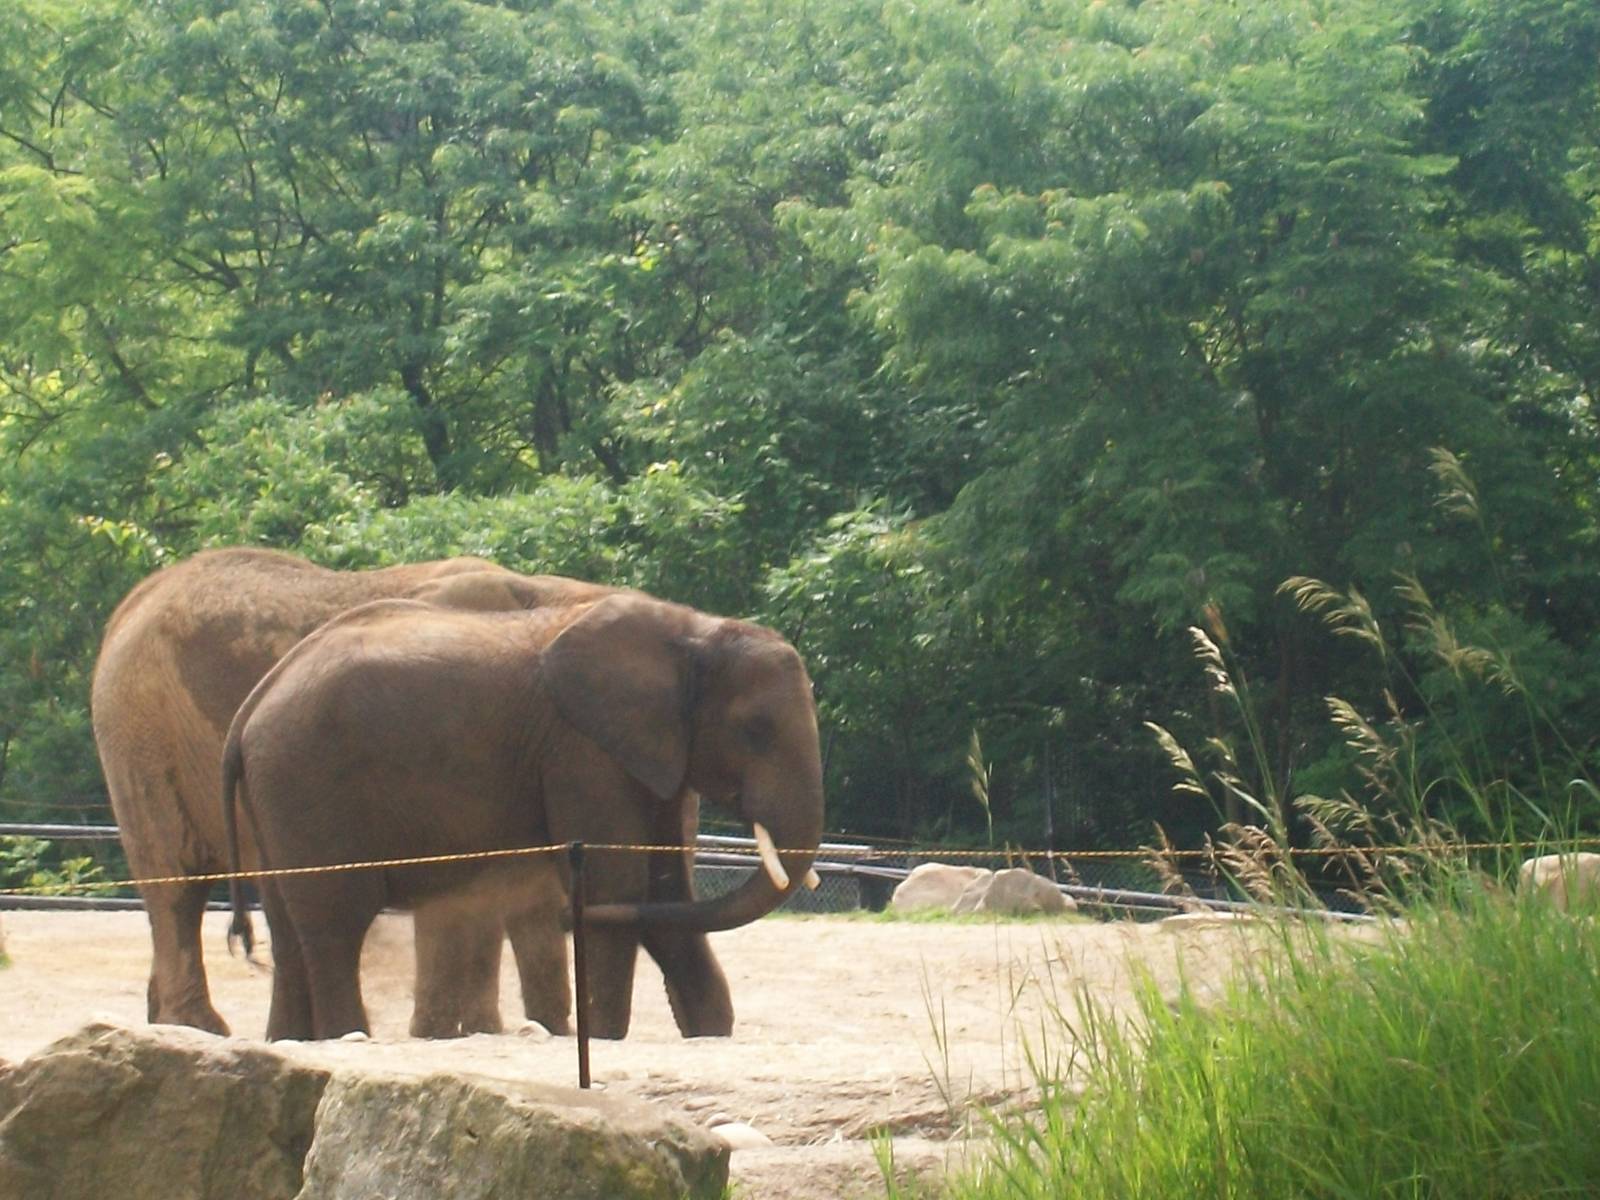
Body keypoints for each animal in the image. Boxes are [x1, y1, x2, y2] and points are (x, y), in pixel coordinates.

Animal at [90, 547, 734, 1038]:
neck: (549, 596)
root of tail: (127, 607)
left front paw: (514, 1031)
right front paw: (462, 1033)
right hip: (142, 732)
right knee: (176, 883)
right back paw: (197, 1028)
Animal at [220, 590, 825, 1041]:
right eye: (756, 729)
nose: (562, 918)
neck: (693, 631)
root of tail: (251, 705)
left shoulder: (653, 753)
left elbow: (664, 892)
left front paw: (707, 1033)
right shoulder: (582, 750)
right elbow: (616, 885)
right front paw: (605, 1038)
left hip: (277, 790)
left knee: (287, 926)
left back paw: (290, 1042)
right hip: (306, 778)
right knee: (334, 923)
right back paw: (347, 1038)